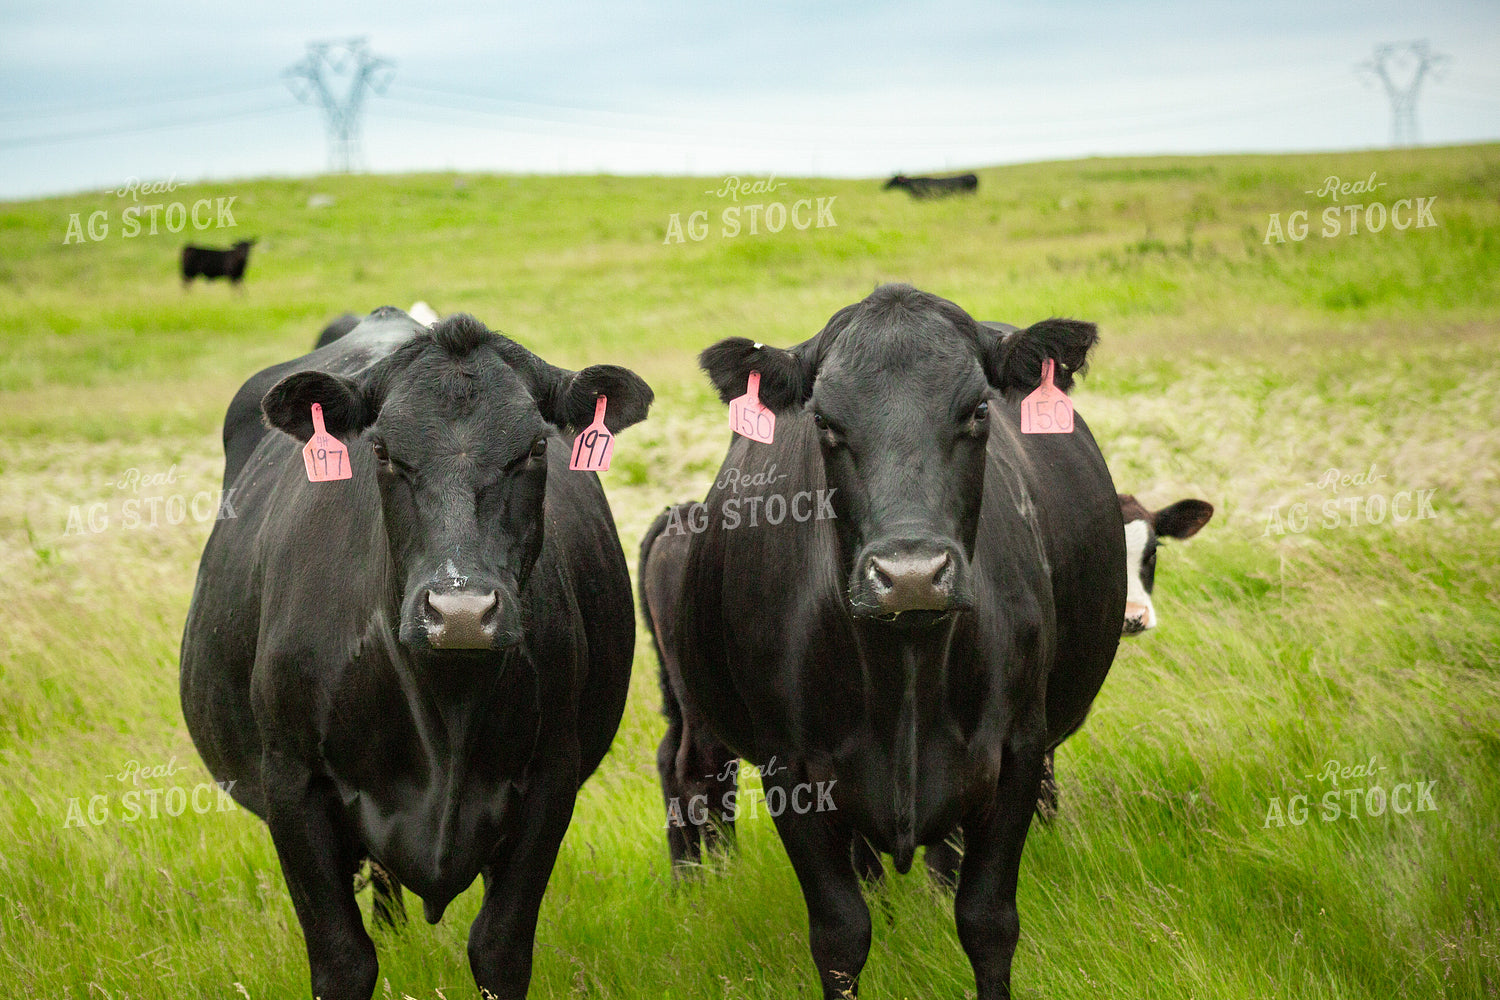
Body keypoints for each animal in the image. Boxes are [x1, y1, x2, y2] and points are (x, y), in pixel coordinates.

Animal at [180, 306, 653, 1000]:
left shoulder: (551, 777)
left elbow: (499, 948)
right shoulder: (290, 781)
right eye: (381, 450)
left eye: (536, 448)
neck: (445, 709)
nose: (460, 612)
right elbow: (344, 960)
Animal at [647, 283, 1122, 999]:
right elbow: (841, 935)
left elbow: (988, 922)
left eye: (978, 410)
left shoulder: (1017, 753)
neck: (905, 668)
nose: (910, 574)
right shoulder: (792, 772)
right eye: (825, 423)